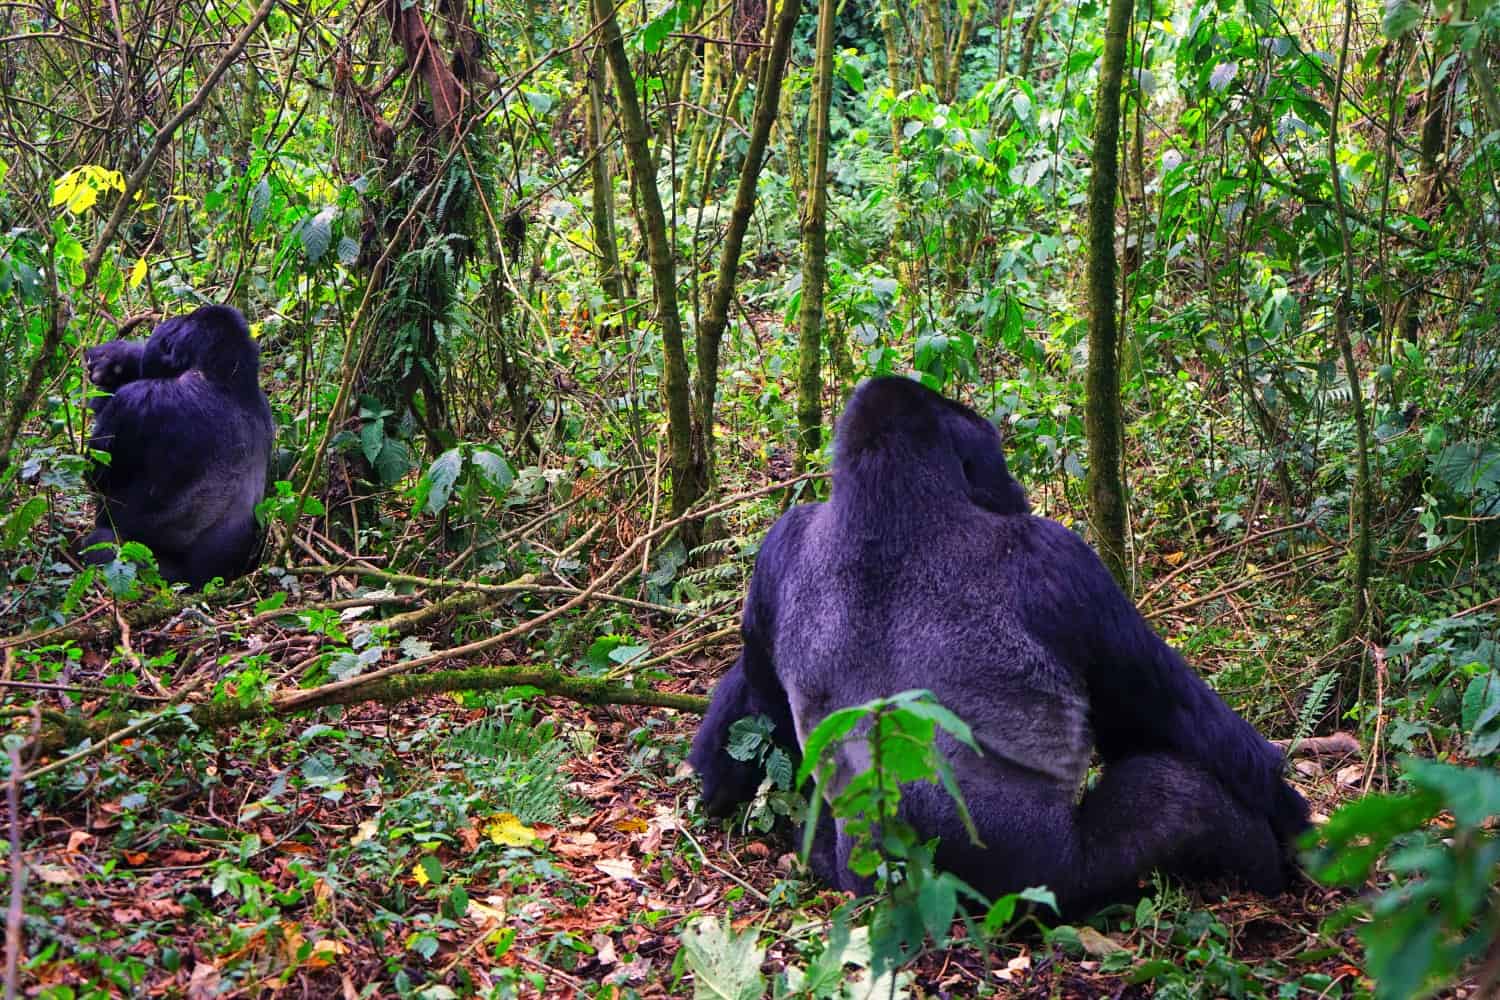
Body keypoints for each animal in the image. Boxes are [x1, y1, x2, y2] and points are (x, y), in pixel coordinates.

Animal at [83, 302, 274, 587]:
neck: (224, 377)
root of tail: (203, 581)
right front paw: (118, 356)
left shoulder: (137, 400)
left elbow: (98, 473)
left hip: (161, 575)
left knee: (100, 544)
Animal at [687, 377, 1308, 923]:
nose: (1016, 493)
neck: (887, 501)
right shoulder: (1061, 561)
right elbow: (1177, 726)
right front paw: (1297, 820)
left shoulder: (779, 545)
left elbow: (758, 696)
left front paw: (713, 782)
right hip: (1047, 885)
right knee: (1173, 791)